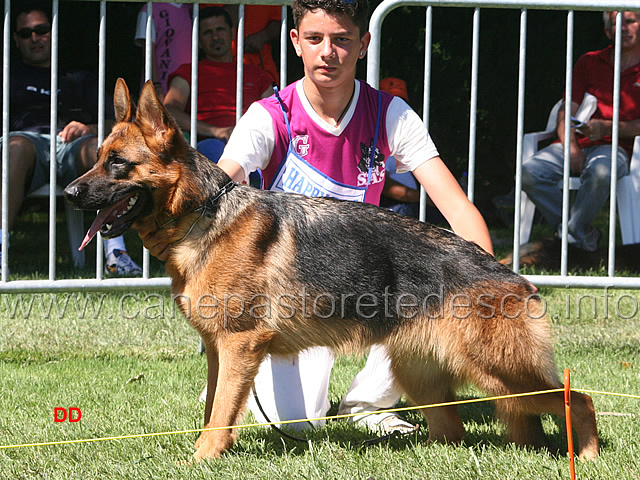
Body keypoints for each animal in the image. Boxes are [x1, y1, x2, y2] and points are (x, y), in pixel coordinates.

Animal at [62, 79, 596, 462]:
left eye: (118, 164)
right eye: (97, 160)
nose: (68, 192)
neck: (202, 214)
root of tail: (508, 273)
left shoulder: (239, 346)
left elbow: (220, 413)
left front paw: (204, 458)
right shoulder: (218, 350)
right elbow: (216, 406)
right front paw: (208, 449)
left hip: (500, 372)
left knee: (580, 398)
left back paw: (586, 456)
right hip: (430, 376)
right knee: (455, 431)